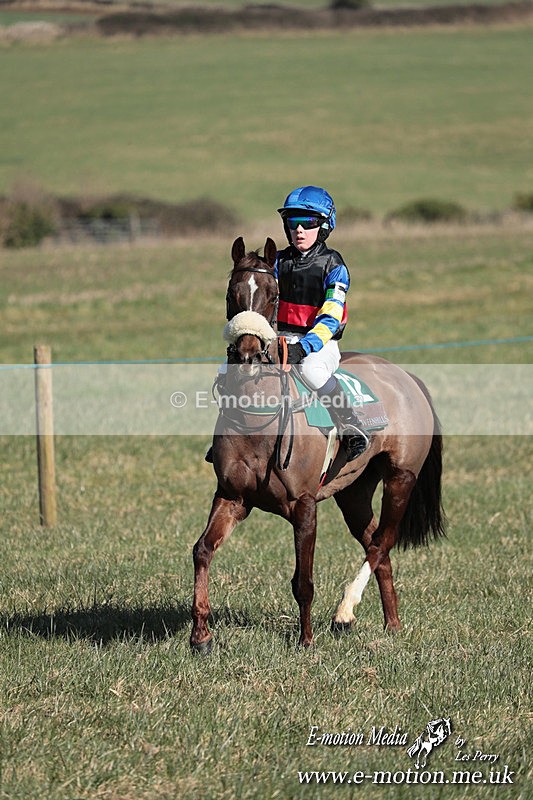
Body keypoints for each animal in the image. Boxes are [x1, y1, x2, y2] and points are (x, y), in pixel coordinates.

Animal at [191, 237, 445, 653]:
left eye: (273, 295)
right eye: (232, 294)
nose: (247, 354)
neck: (257, 420)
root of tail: (406, 376)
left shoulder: (305, 505)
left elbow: (303, 581)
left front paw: (306, 641)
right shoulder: (232, 496)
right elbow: (202, 551)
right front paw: (200, 635)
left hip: (401, 478)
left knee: (382, 543)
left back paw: (346, 610)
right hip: (354, 493)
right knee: (378, 548)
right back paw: (392, 625)